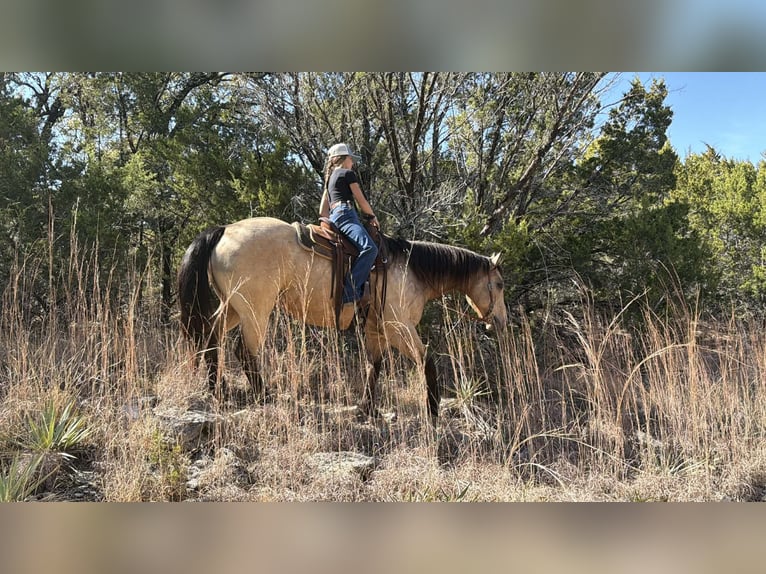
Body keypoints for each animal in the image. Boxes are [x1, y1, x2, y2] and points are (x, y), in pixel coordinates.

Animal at [177, 216, 507, 420]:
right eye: (500, 284)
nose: (501, 322)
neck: (411, 270)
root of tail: (225, 230)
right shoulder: (399, 327)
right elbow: (426, 360)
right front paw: (433, 409)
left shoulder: (376, 330)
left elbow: (374, 366)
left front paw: (367, 409)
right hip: (256, 309)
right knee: (244, 351)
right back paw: (264, 396)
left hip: (232, 307)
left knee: (212, 336)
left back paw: (218, 390)